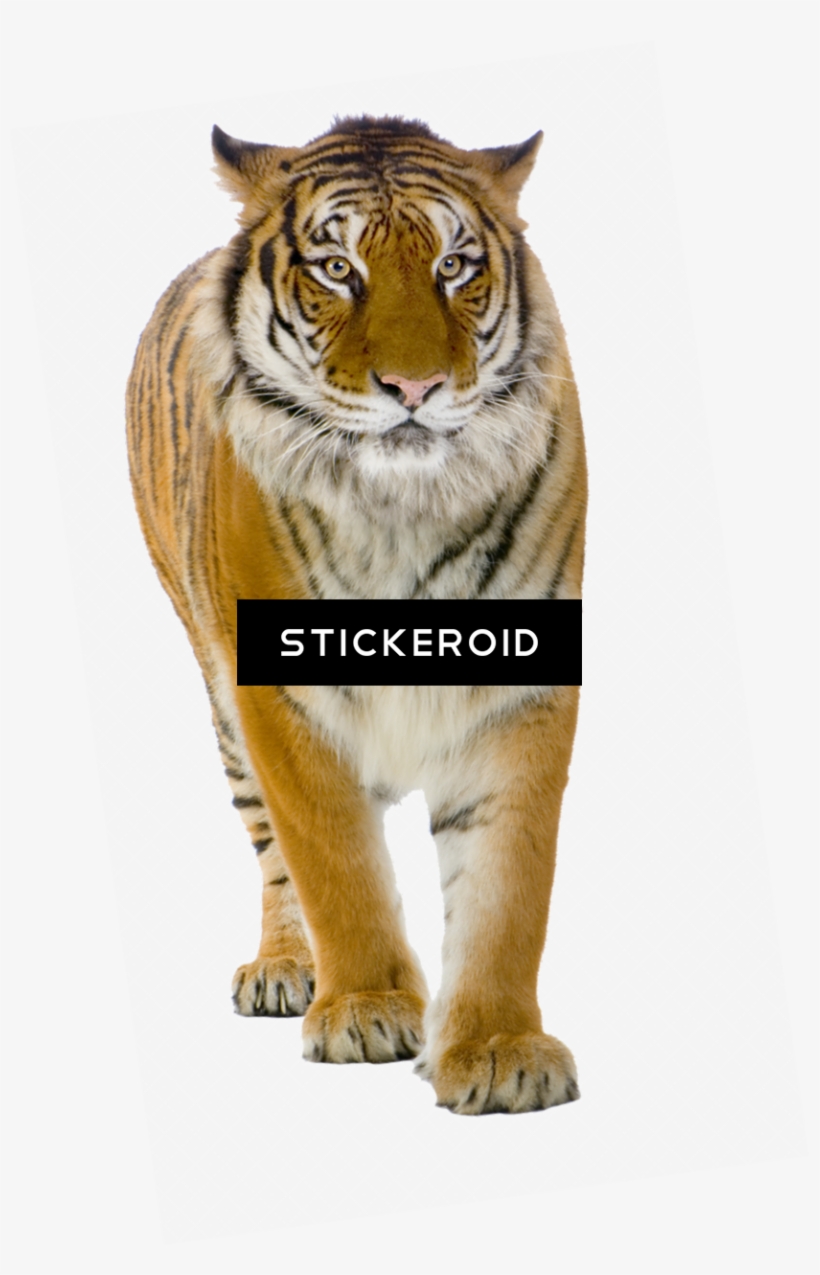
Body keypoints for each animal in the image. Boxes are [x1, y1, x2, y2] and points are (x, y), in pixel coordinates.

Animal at [125, 115, 587, 1115]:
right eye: (338, 269)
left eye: (454, 264)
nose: (412, 388)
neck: (403, 507)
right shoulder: (281, 695)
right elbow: (334, 863)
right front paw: (366, 1008)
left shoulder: (522, 687)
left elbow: (507, 888)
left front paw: (501, 1048)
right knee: (272, 848)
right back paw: (283, 967)